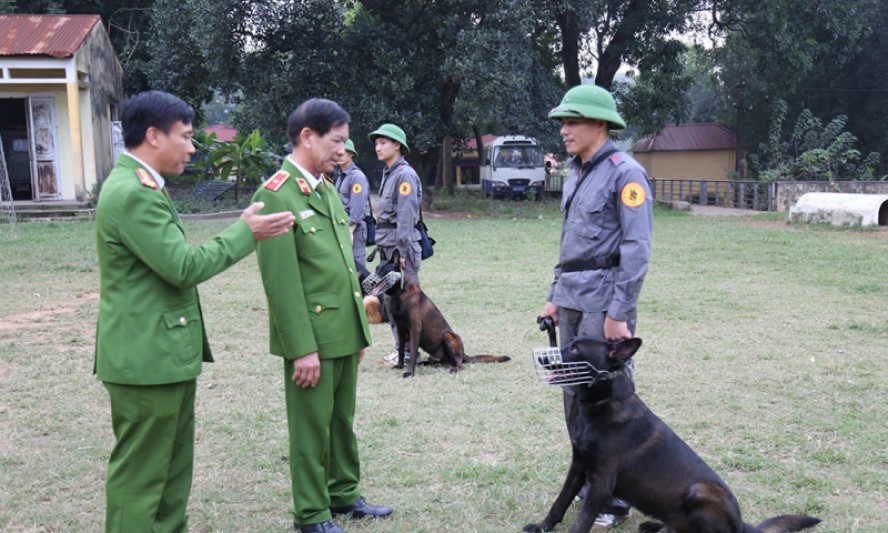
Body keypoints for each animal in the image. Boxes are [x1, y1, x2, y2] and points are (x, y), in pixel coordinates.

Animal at [362, 249, 512, 378]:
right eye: (376, 269)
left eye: (384, 270)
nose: (370, 284)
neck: (400, 292)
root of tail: (463, 354)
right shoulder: (400, 329)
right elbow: (401, 351)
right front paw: (399, 365)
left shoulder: (415, 329)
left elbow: (412, 352)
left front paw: (409, 372)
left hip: (448, 336)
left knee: (461, 364)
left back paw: (454, 368)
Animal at [524, 336, 824, 532]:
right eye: (569, 342)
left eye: (575, 348)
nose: (540, 357)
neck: (603, 406)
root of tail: (742, 525)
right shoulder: (578, 467)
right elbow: (560, 502)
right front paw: (542, 526)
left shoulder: (600, 484)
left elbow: (581, 522)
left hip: (700, 491)